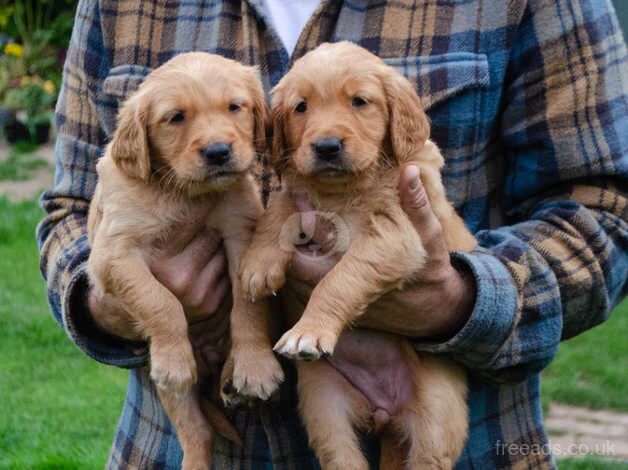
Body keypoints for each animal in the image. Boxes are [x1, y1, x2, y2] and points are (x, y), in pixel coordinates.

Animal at [87, 51, 284, 470]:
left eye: (234, 107)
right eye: (176, 117)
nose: (218, 152)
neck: (182, 192)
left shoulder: (240, 233)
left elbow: (247, 308)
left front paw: (256, 366)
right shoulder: (114, 253)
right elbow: (160, 302)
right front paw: (175, 360)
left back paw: (234, 377)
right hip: (172, 392)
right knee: (197, 432)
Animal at [240, 41, 476, 470]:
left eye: (360, 101)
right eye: (301, 107)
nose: (326, 147)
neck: (344, 189)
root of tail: (386, 414)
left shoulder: (398, 233)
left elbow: (341, 277)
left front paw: (309, 330)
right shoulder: (298, 190)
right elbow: (276, 213)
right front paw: (258, 266)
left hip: (438, 412)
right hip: (323, 401)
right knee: (340, 454)